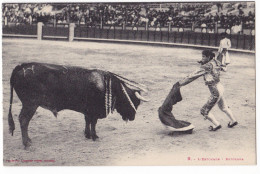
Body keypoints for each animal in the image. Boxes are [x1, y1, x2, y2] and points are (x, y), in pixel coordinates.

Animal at [7, 62, 148, 147]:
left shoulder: (88, 111)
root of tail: (21, 67)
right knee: (24, 120)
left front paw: (87, 135)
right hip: (30, 104)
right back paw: (26, 143)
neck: (109, 87)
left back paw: (28, 141)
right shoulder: (94, 111)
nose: (132, 117)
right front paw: (95, 136)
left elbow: (87, 121)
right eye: (134, 101)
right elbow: (93, 123)